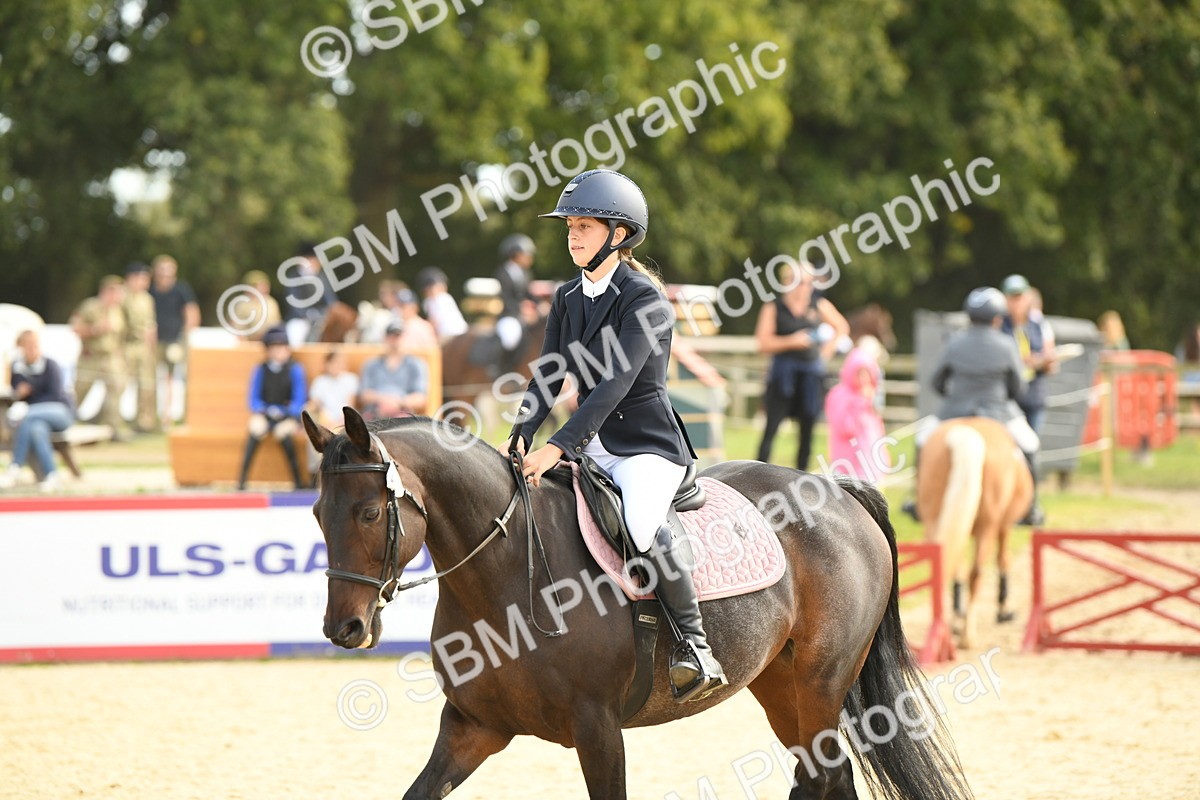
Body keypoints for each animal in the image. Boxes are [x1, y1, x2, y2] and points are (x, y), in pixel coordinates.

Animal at [303, 408, 973, 799]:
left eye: (369, 513)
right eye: (315, 513)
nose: (344, 628)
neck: (505, 573)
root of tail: (837, 490)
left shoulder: (598, 728)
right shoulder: (473, 726)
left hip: (821, 680)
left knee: (823, 774)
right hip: (783, 689)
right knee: (826, 775)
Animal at [916, 418, 1033, 649]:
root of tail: (965, 433)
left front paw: (957, 620)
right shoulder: (1004, 526)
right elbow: (1003, 560)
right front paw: (1003, 610)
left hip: (934, 521)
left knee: (947, 568)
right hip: (987, 528)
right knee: (976, 573)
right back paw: (967, 636)